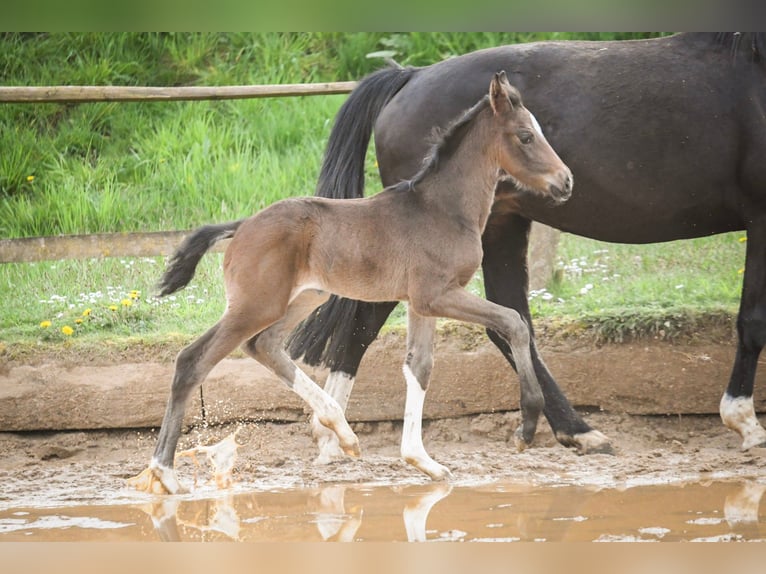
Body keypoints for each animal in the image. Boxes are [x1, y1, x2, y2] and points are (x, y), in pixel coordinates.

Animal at [132, 72, 572, 496]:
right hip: (256, 305)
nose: (566, 181)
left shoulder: (421, 303)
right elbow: (514, 321)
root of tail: (241, 227)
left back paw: (341, 431)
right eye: (526, 135)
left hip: (306, 296)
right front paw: (526, 428)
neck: (442, 210)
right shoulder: (439, 294)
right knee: (193, 360)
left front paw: (423, 462)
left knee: (264, 345)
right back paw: (164, 473)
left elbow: (420, 366)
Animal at [290, 31, 766, 464]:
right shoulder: (760, 216)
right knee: (366, 322)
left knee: (508, 319)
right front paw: (745, 423)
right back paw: (333, 434)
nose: (567, 181)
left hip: (501, 226)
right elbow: (752, 320)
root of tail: (411, 75)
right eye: (525, 136)